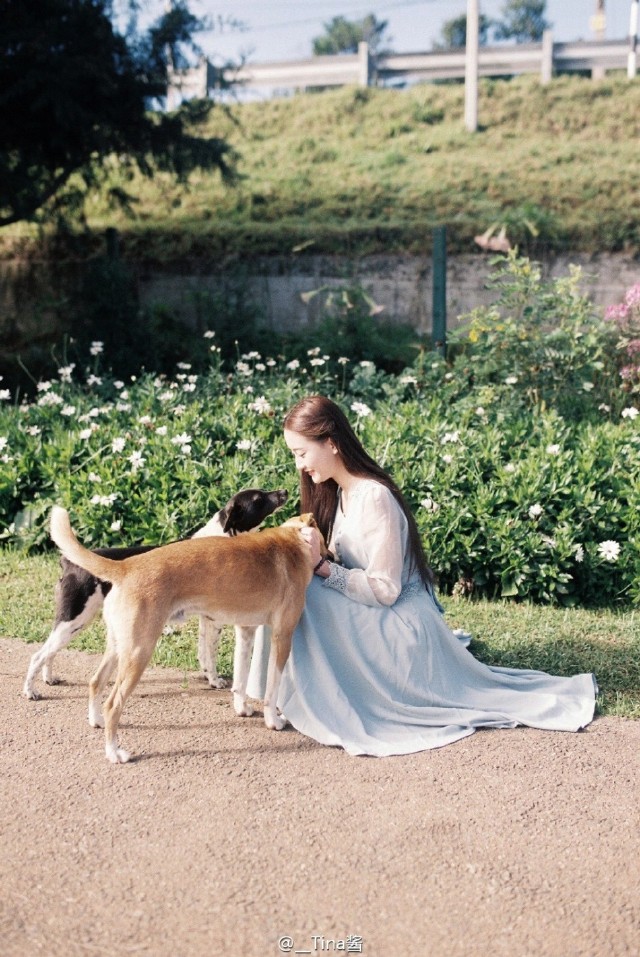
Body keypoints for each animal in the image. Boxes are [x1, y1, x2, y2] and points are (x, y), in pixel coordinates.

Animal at [22, 490, 288, 700]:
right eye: (259, 498)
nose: (284, 491)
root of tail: (69, 562)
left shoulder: (207, 620)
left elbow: (203, 654)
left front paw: (208, 678)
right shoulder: (216, 621)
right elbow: (210, 656)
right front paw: (215, 681)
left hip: (73, 623)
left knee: (49, 652)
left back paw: (49, 679)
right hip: (74, 619)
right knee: (37, 655)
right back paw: (30, 691)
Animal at [49, 504, 324, 764]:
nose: (331, 556)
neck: (293, 540)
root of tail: (127, 566)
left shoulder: (246, 632)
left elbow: (241, 678)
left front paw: (242, 707)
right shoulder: (282, 637)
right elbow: (271, 690)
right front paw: (273, 720)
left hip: (119, 646)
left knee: (95, 682)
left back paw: (95, 720)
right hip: (138, 652)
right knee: (113, 703)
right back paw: (114, 752)